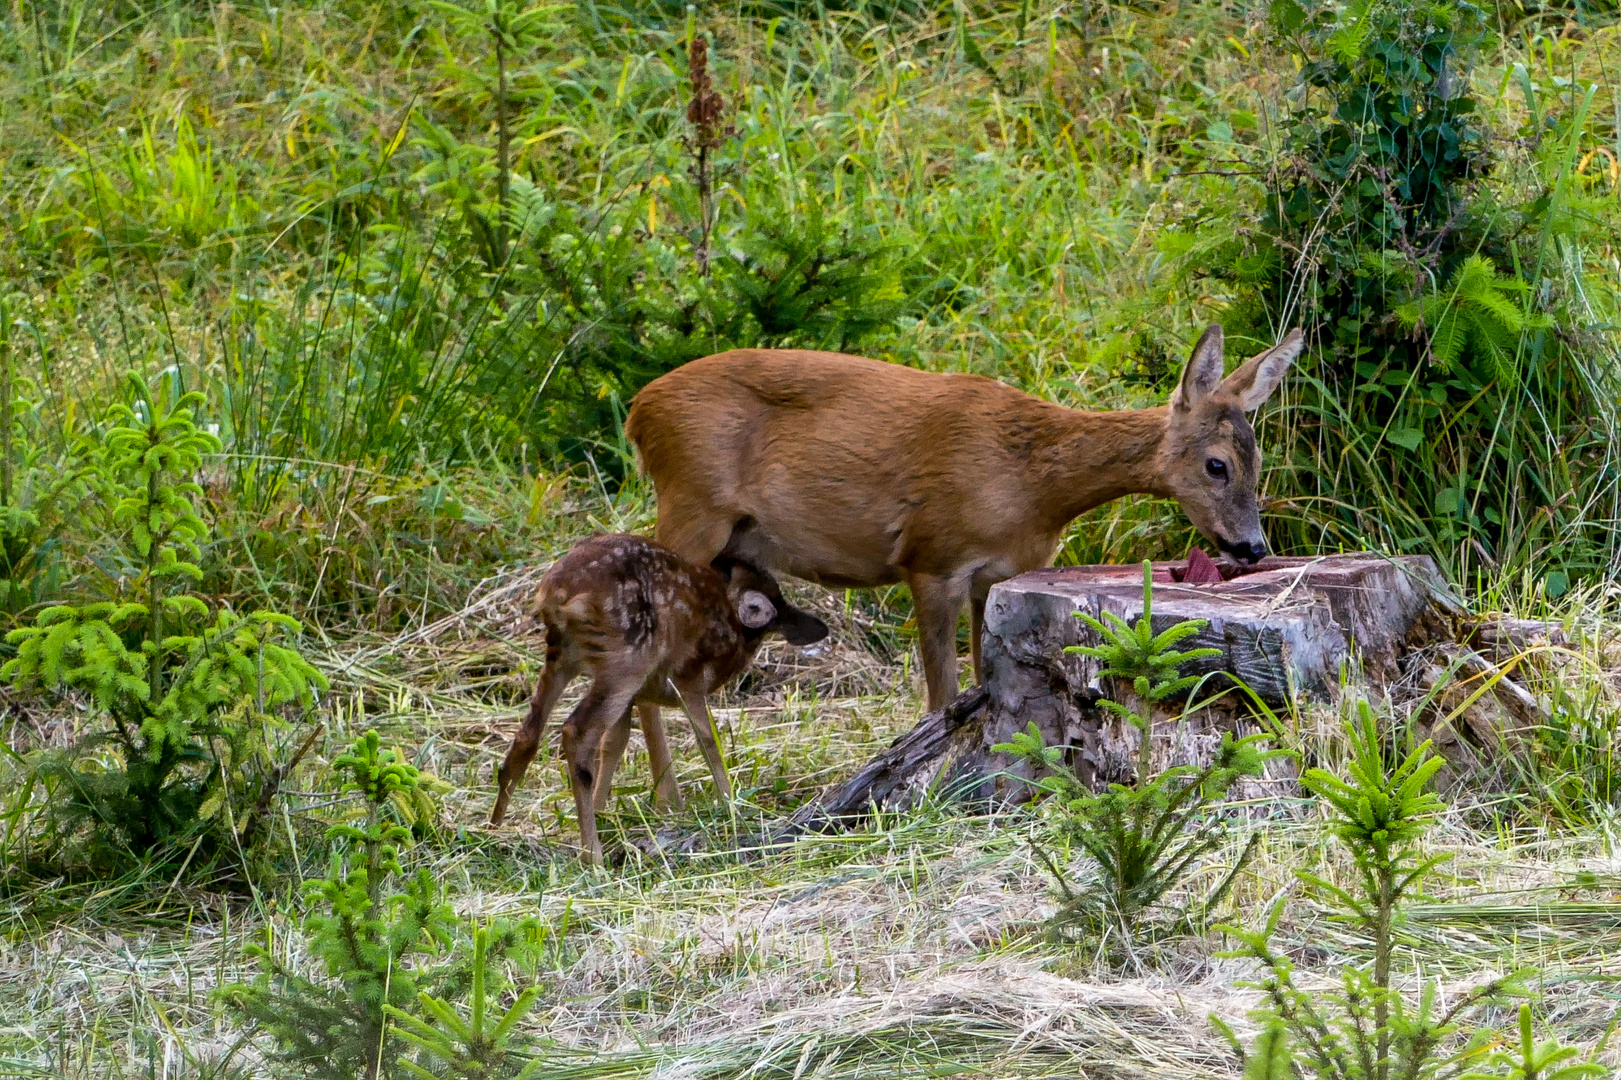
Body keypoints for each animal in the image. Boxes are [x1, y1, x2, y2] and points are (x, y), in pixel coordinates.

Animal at [619, 324, 1303, 710]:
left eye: (1259, 459)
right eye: (1217, 465)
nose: (1252, 547)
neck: (1033, 487)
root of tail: (638, 411)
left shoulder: (995, 577)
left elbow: (979, 679)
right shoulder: (932, 556)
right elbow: (941, 697)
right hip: (692, 505)